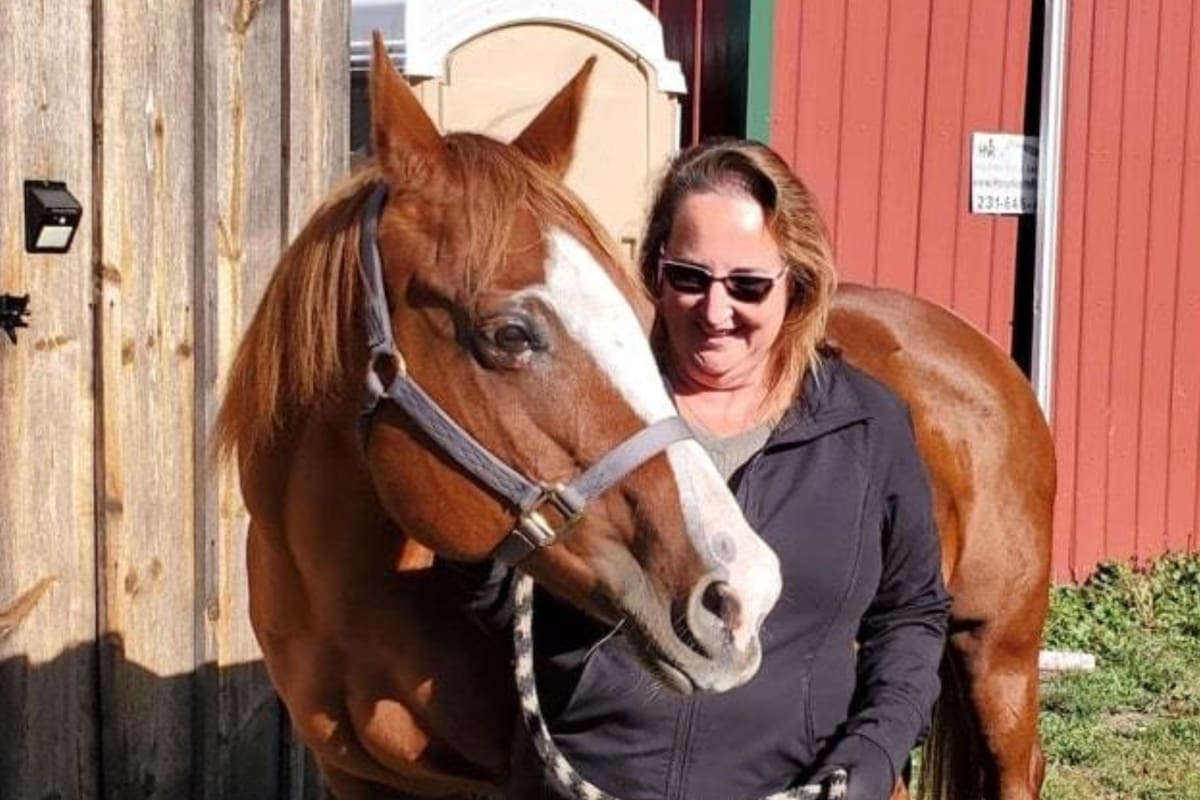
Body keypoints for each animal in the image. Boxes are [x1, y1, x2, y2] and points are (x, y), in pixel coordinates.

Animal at [216, 34, 1053, 800]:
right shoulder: (357, 780)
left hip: (998, 654)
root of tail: (972, 344)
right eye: (510, 334)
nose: (743, 592)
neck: (344, 597)